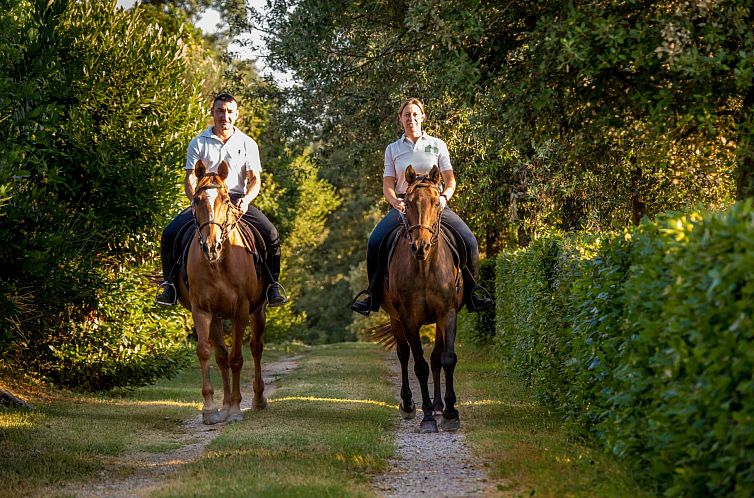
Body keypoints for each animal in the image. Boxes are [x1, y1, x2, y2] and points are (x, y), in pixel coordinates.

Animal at [175, 160, 268, 424]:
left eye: (226, 200)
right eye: (197, 200)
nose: (211, 246)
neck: (218, 263)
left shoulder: (241, 311)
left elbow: (237, 357)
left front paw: (236, 408)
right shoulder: (202, 309)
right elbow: (207, 353)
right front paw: (211, 408)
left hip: (258, 310)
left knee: (256, 348)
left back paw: (258, 399)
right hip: (216, 316)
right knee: (221, 355)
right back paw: (224, 405)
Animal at [374, 164, 458, 432]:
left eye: (436, 202)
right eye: (407, 203)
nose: (420, 246)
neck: (424, 267)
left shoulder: (447, 313)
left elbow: (447, 359)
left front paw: (450, 413)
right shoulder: (408, 318)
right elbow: (419, 365)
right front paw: (428, 416)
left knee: (436, 358)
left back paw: (440, 406)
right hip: (395, 319)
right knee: (403, 355)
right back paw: (409, 404)